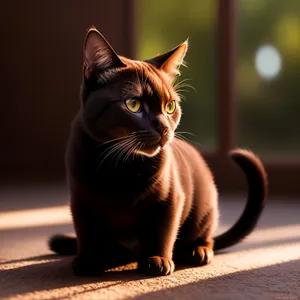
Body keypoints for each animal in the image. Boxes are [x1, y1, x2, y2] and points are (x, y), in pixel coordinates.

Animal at [48, 27, 268, 276]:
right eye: (133, 104)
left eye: (170, 106)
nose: (163, 128)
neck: (121, 167)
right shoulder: (81, 200)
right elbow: (87, 232)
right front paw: (88, 261)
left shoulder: (169, 199)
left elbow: (162, 232)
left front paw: (157, 259)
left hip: (205, 207)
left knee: (206, 235)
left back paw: (198, 250)